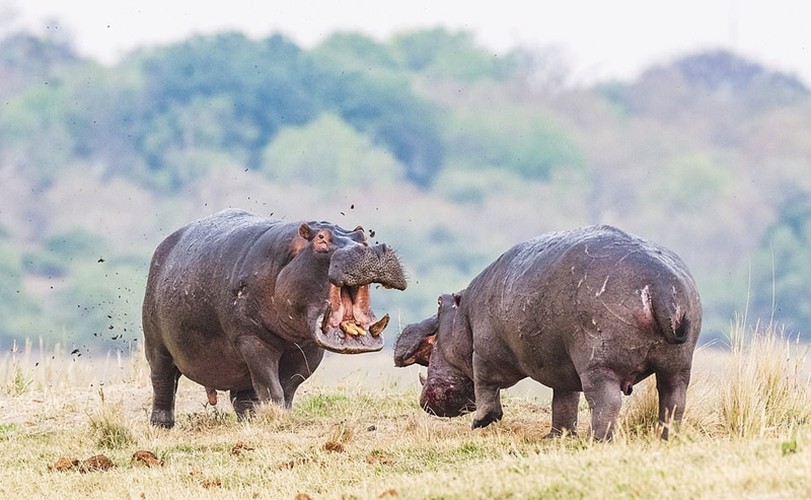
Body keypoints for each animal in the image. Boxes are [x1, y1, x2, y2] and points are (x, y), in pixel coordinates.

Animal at [143, 209, 406, 428]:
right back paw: (161, 425)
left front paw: (281, 415)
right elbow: (271, 386)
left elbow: (288, 386)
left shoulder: (307, 349)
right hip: (156, 345)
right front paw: (276, 416)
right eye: (321, 239)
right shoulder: (252, 339)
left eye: (363, 237)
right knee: (163, 382)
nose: (371, 250)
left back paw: (248, 420)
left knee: (241, 396)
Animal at [394, 225, 696, 440]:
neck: (464, 313)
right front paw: (556, 438)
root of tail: (659, 286)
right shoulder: (563, 368)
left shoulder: (484, 355)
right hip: (677, 366)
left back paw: (597, 441)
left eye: (439, 301)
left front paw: (479, 422)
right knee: (673, 401)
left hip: (599, 367)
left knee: (606, 403)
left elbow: (485, 386)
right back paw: (667, 438)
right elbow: (563, 402)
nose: (405, 331)